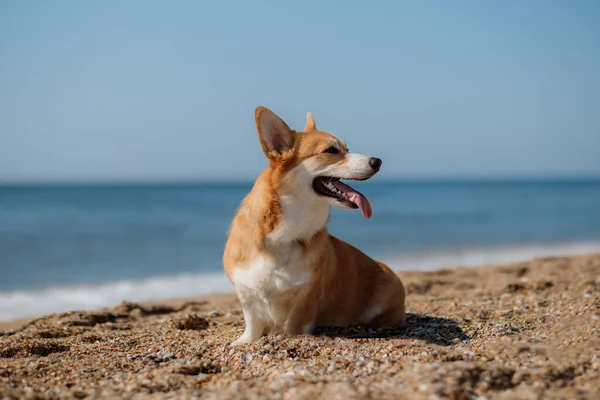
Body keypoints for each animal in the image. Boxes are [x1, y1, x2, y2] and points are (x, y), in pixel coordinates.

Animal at [223, 106, 406, 344]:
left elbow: (293, 327)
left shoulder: (307, 297)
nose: (378, 161)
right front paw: (245, 341)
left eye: (347, 149)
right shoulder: (246, 292)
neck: (285, 234)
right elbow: (252, 322)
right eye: (331, 150)